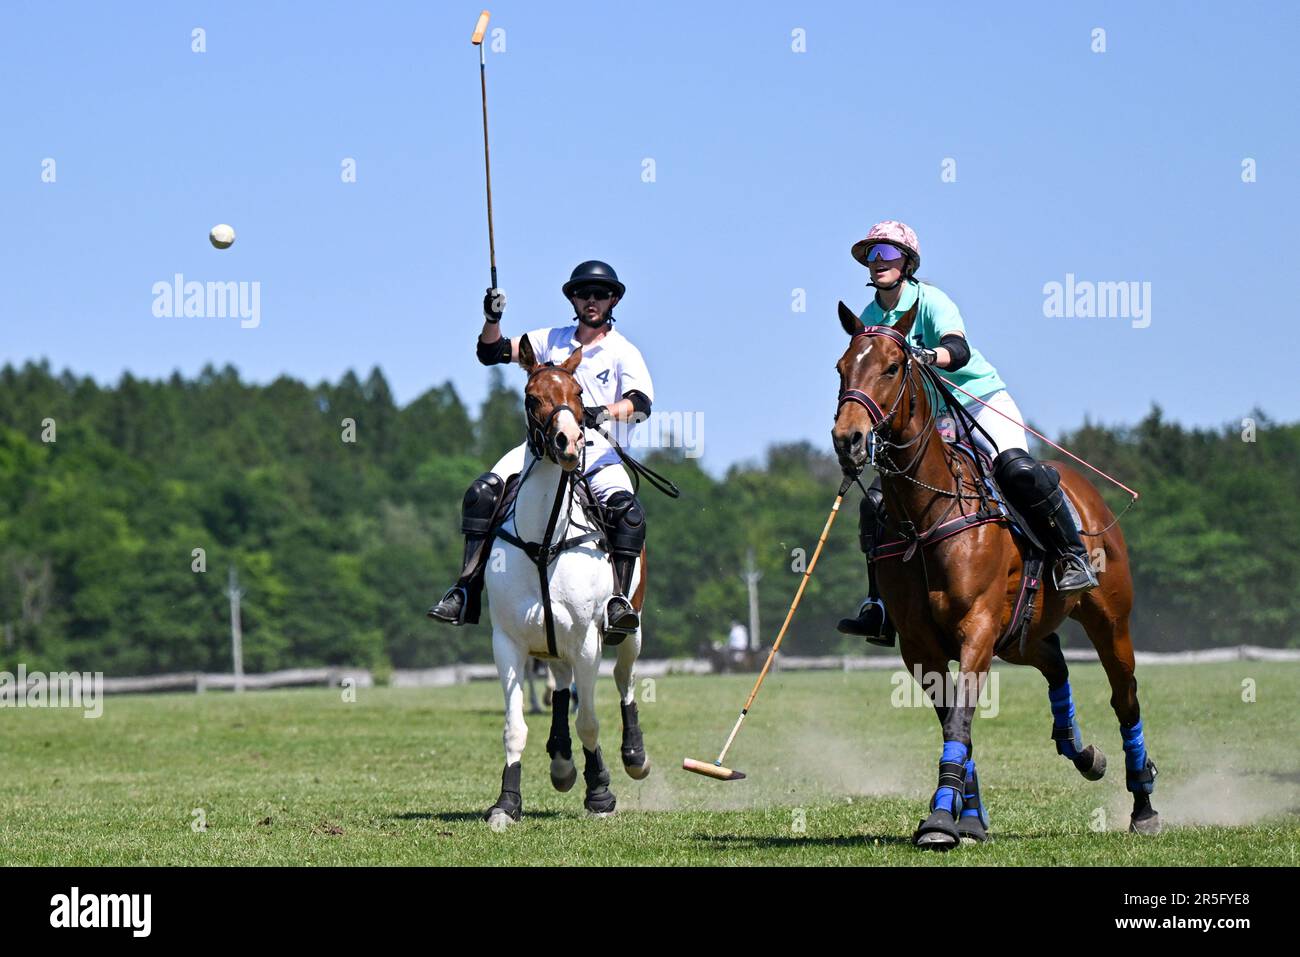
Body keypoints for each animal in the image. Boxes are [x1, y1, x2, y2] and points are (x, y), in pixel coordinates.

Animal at [483, 345, 650, 832]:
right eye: (531, 396)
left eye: (578, 393)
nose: (570, 442)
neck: (543, 541)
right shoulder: (508, 642)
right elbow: (515, 725)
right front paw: (506, 803)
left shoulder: (587, 641)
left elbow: (590, 720)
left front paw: (600, 794)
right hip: (550, 640)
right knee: (560, 685)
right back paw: (560, 762)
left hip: (630, 628)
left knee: (625, 680)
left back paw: (634, 756)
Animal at [832, 299, 1159, 842]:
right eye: (841, 369)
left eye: (893, 367)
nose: (848, 439)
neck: (926, 515)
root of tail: (1084, 490)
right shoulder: (920, 647)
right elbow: (954, 726)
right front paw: (965, 817)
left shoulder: (977, 628)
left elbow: (960, 722)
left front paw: (943, 819)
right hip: (1021, 634)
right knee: (1056, 663)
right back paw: (1081, 752)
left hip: (1109, 621)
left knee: (1125, 697)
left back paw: (1144, 806)